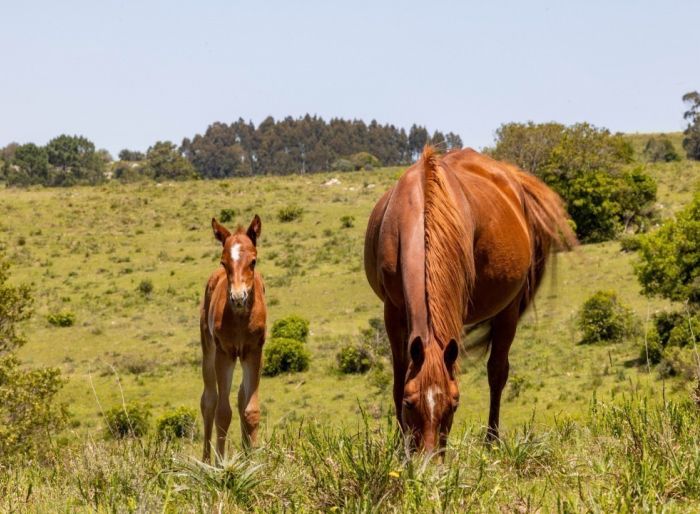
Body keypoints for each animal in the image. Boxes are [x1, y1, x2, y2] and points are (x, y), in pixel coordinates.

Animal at [202, 214, 268, 462]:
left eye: (253, 261)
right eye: (224, 262)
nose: (238, 297)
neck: (240, 318)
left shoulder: (254, 351)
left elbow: (250, 410)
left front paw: (254, 460)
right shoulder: (225, 353)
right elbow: (223, 412)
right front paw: (221, 463)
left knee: (240, 396)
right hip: (208, 349)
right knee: (209, 400)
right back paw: (206, 460)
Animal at [364, 146, 576, 450]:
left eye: (454, 403)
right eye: (409, 402)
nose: (430, 457)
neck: (423, 210)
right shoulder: (392, 311)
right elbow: (398, 378)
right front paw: (400, 447)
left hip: (508, 309)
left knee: (497, 371)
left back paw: (491, 441)